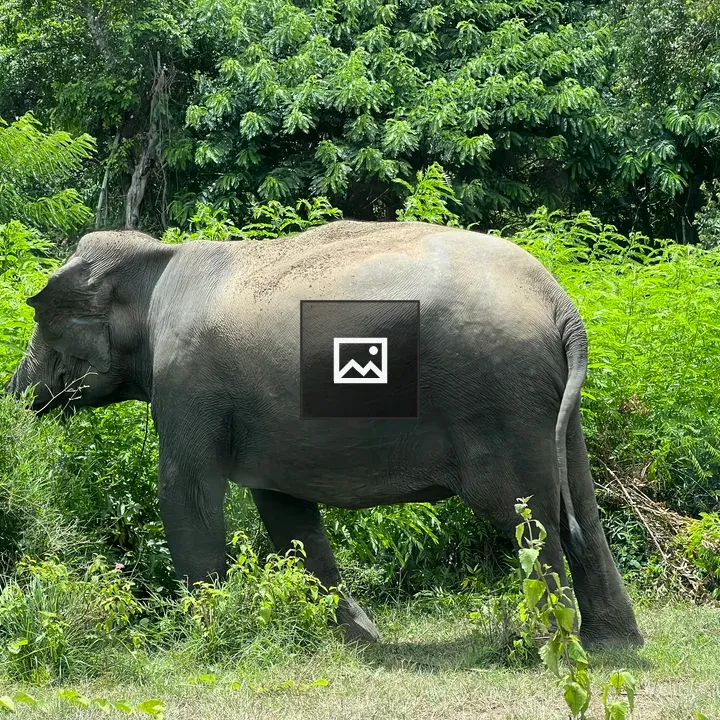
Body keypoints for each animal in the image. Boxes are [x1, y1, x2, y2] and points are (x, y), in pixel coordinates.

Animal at [5, 220, 643, 648]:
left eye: (39, 320)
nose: (17, 395)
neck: (157, 259)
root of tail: (559, 303)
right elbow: (283, 508)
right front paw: (362, 638)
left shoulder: (187, 383)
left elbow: (188, 491)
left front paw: (209, 631)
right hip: (547, 404)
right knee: (579, 504)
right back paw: (613, 643)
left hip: (496, 393)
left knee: (525, 513)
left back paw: (549, 644)